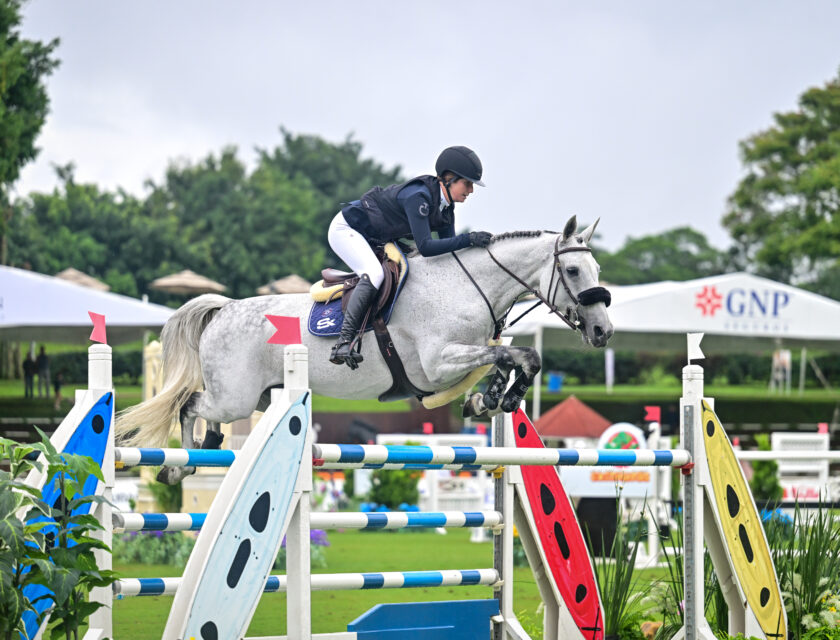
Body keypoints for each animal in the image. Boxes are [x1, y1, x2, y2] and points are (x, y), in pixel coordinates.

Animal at [118, 215, 612, 480]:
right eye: (572, 271)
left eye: (596, 268)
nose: (603, 331)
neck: (465, 285)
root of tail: (223, 310)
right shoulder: (436, 362)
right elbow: (512, 355)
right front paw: (500, 397)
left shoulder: (460, 357)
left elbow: (510, 357)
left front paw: (488, 400)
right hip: (234, 396)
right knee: (188, 404)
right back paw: (178, 466)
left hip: (256, 397)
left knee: (205, 413)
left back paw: (205, 448)